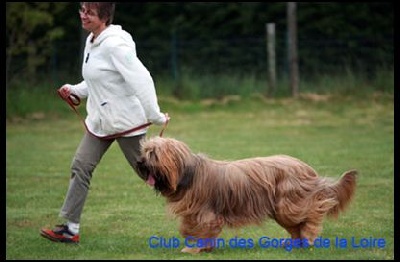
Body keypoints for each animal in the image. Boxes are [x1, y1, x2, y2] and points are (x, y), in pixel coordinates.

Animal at [137, 137, 356, 254]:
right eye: (145, 150)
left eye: (153, 154)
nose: (139, 162)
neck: (189, 174)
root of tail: (306, 168)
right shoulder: (193, 213)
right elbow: (189, 228)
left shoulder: (206, 214)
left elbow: (202, 230)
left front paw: (194, 249)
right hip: (283, 209)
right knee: (297, 226)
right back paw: (295, 243)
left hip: (289, 203)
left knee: (315, 210)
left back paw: (308, 236)